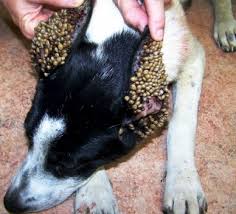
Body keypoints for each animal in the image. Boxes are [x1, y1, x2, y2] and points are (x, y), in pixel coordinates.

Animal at [3, 0, 206, 213]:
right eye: (28, 137)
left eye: (68, 165)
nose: (10, 202)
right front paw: (95, 193)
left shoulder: (193, 59)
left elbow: (181, 122)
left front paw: (183, 185)